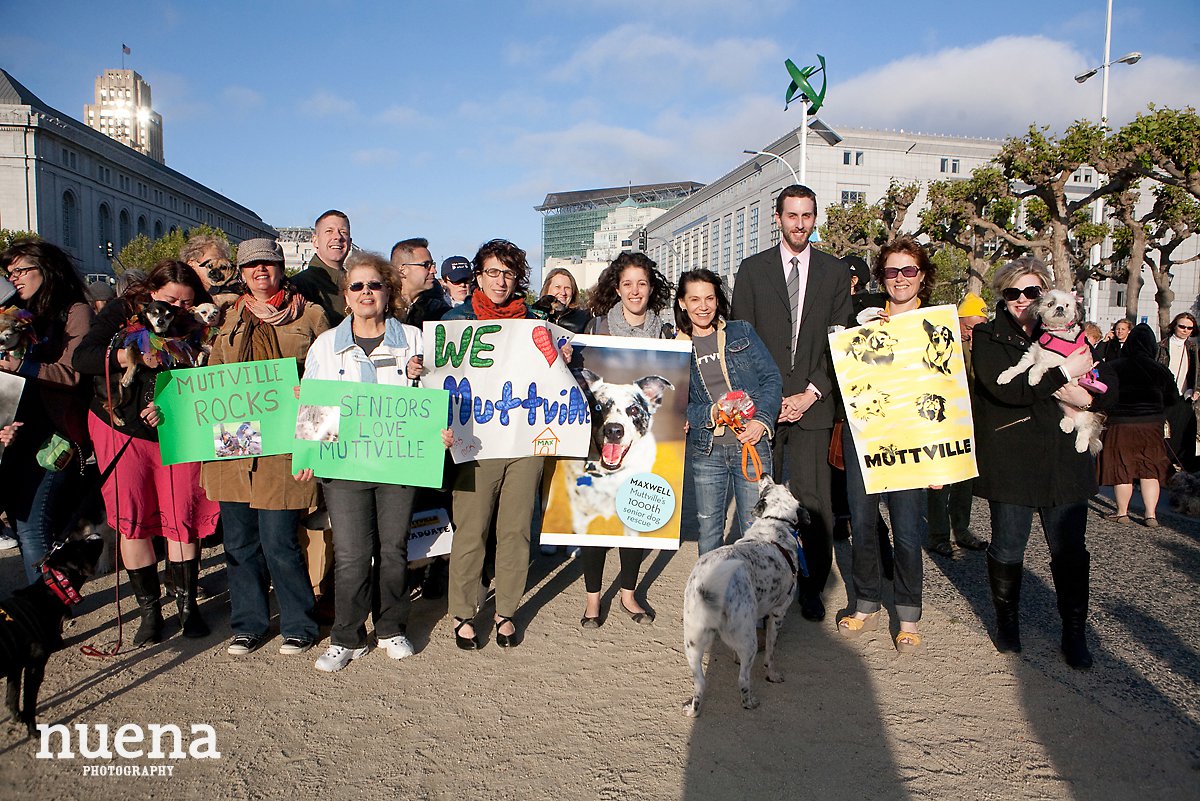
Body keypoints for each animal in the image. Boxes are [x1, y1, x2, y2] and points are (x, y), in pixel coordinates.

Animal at [2, 537, 103, 738]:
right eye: (85, 546)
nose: (95, 536)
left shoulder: (15, 666)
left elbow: (12, 698)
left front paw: (18, 719)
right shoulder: (34, 666)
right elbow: (29, 703)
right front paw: (33, 731)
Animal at [681, 479, 811, 714]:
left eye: (771, 487)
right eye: (778, 487)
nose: (764, 473)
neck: (774, 523)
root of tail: (710, 585)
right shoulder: (778, 614)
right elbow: (770, 653)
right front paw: (772, 675)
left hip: (692, 643)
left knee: (700, 682)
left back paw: (694, 710)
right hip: (748, 640)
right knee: (742, 679)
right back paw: (749, 702)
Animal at [993, 288, 1104, 455]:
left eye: (1067, 305)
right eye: (1050, 303)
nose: (1060, 308)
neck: (1055, 334)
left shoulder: (1057, 359)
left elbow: (1038, 366)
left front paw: (1033, 378)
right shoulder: (1032, 354)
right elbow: (1019, 367)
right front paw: (1005, 376)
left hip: (1089, 413)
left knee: (1086, 428)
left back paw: (1082, 444)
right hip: (1063, 405)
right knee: (1071, 419)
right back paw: (1067, 424)